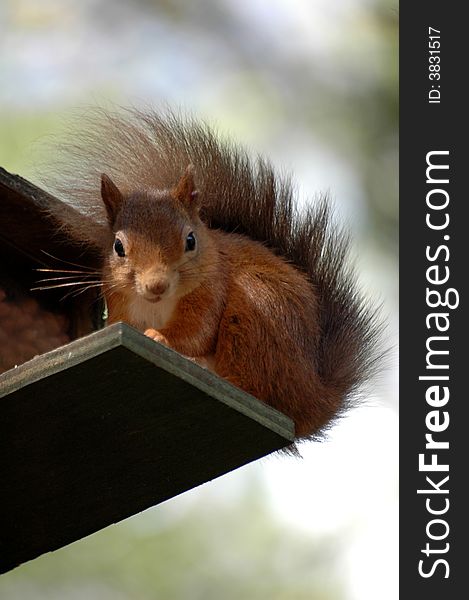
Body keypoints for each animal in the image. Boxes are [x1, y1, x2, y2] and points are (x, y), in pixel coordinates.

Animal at [43, 109, 380, 440]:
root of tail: (313, 396)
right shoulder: (121, 303)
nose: (156, 285)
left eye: (190, 240)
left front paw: (160, 337)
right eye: (118, 247)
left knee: (254, 388)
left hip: (257, 311)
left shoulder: (211, 289)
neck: (156, 306)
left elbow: (196, 331)